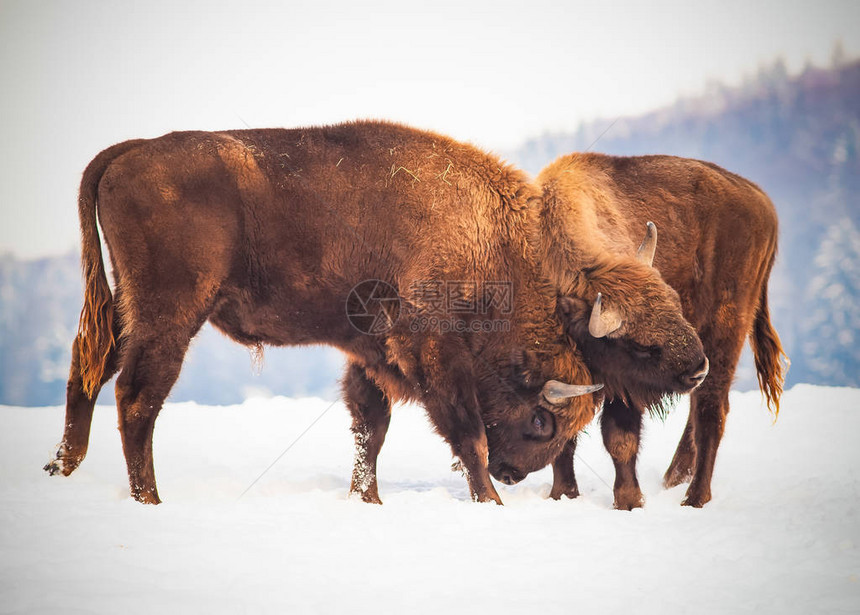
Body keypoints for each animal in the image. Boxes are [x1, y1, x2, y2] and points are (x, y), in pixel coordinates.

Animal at [42, 120, 612, 506]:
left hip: (127, 307)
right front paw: (489, 501)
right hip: (169, 314)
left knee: (87, 370)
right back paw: (149, 499)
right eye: (541, 420)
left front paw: (368, 500)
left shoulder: (370, 352)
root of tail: (131, 150)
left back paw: (60, 470)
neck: (490, 243)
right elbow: (465, 432)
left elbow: (370, 429)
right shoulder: (433, 349)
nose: (514, 473)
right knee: (137, 397)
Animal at [540, 152, 788, 508]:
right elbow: (564, 435)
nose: (697, 369)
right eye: (641, 347)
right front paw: (562, 495)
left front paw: (629, 502)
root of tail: (762, 203)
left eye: (675, 302)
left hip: (725, 330)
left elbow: (620, 438)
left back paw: (694, 498)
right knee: (699, 412)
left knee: (711, 412)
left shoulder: (625, 387)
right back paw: (674, 478)